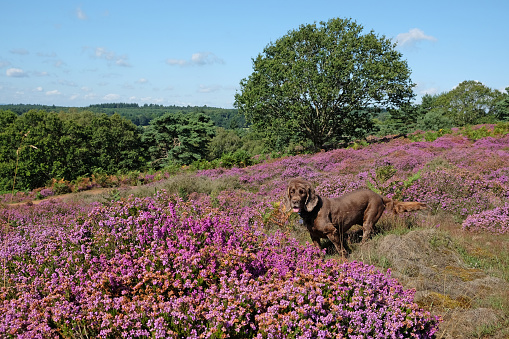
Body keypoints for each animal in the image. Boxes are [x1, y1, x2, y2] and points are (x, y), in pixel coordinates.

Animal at [284, 179, 426, 256]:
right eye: (292, 192)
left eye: (302, 192)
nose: (295, 202)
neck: (312, 211)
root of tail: (379, 196)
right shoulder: (313, 235)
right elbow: (318, 249)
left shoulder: (332, 231)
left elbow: (340, 248)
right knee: (374, 230)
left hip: (369, 216)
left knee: (367, 231)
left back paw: (363, 245)